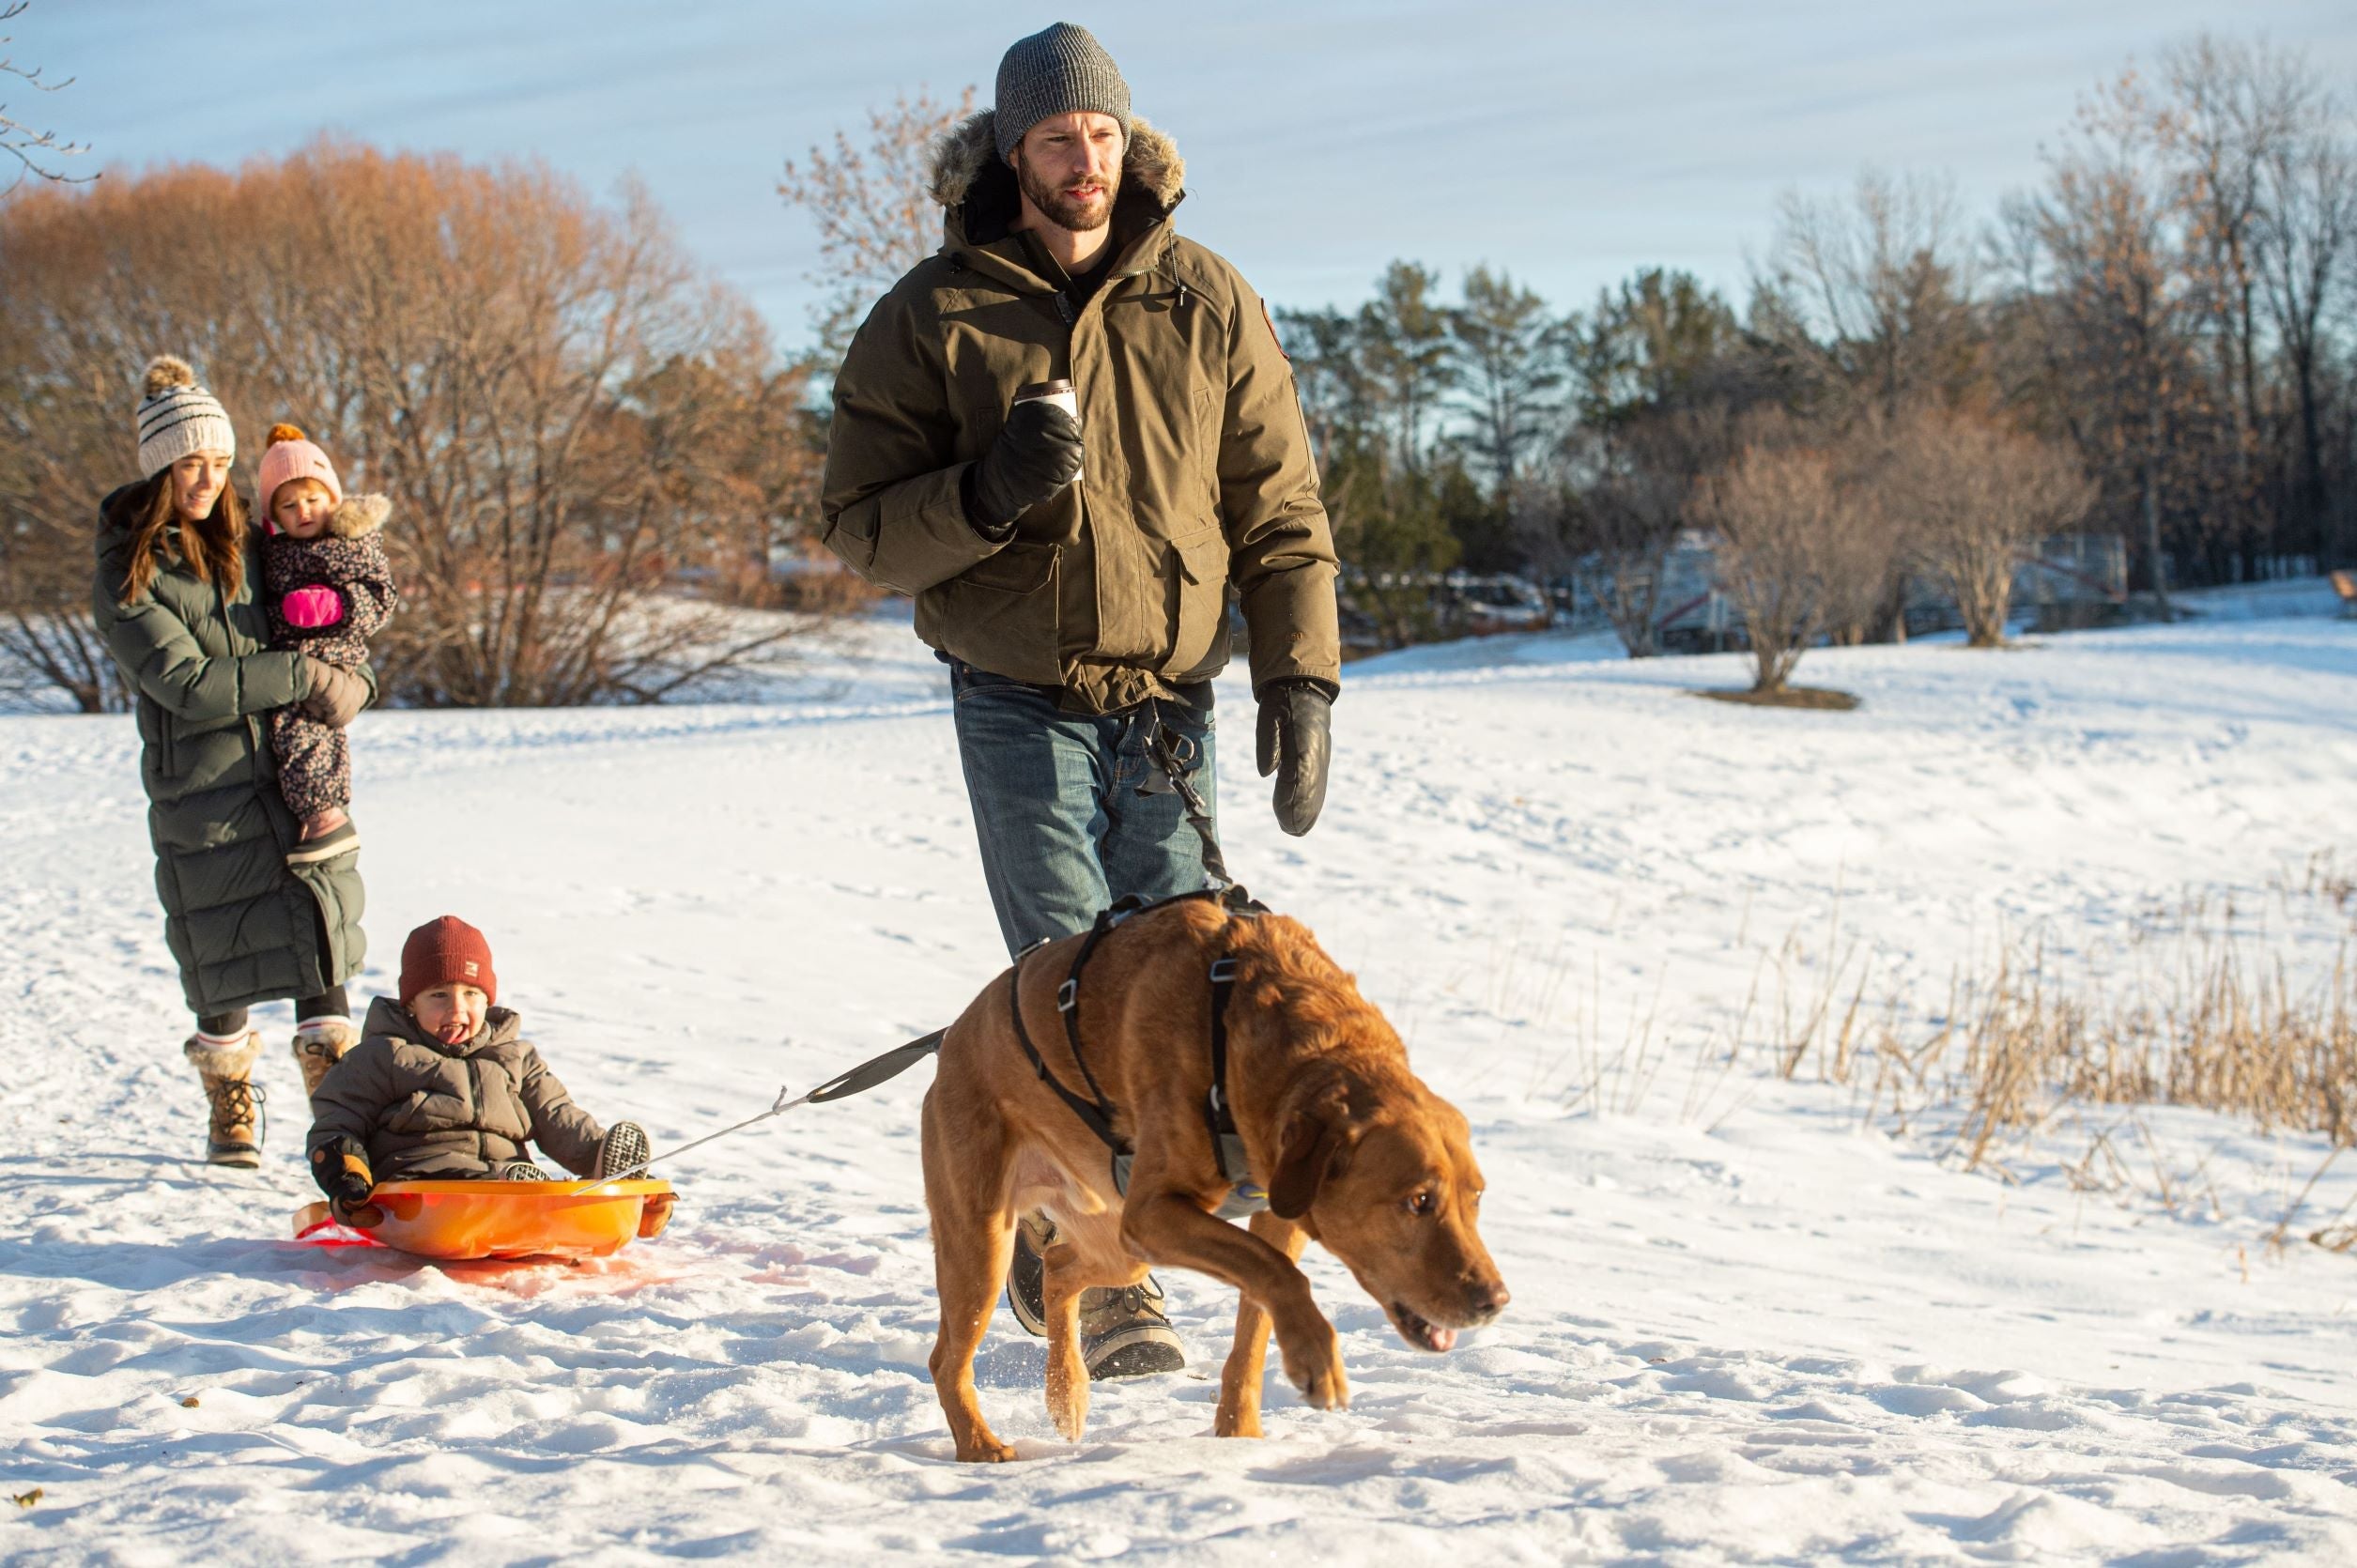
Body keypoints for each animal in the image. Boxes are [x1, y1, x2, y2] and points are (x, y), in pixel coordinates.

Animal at [918, 891, 1508, 1452]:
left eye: (1477, 1198)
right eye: (1418, 1200)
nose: (1495, 1301)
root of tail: (952, 1038)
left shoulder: (1273, 1215)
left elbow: (1256, 1321)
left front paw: (1239, 1435)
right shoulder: (1155, 1212)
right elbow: (1280, 1274)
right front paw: (1317, 1357)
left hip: (1118, 1237)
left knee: (1060, 1266)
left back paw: (1067, 1395)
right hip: (987, 1242)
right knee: (946, 1359)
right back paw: (980, 1446)